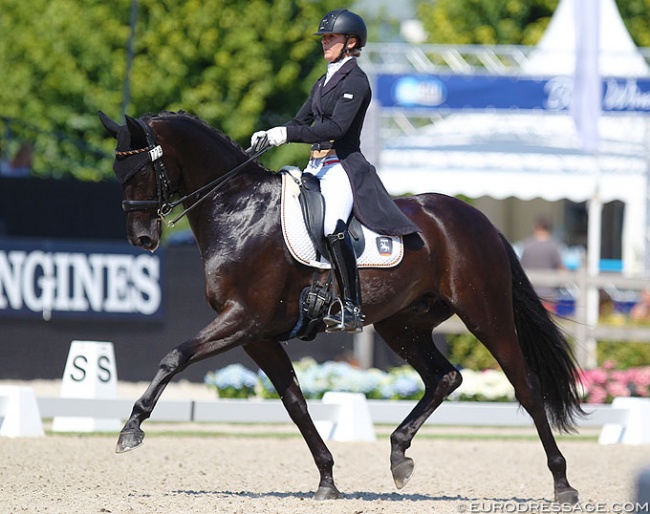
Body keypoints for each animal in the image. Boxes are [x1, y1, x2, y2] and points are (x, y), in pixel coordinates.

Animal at [100, 110, 584, 502]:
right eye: (118, 170)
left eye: (139, 169)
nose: (141, 238)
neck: (238, 210)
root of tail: (475, 218)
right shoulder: (257, 336)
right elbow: (295, 402)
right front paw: (327, 479)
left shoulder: (243, 319)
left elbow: (174, 356)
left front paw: (131, 429)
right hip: (401, 325)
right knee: (444, 377)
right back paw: (399, 455)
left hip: (486, 315)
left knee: (526, 387)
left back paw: (562, 483)